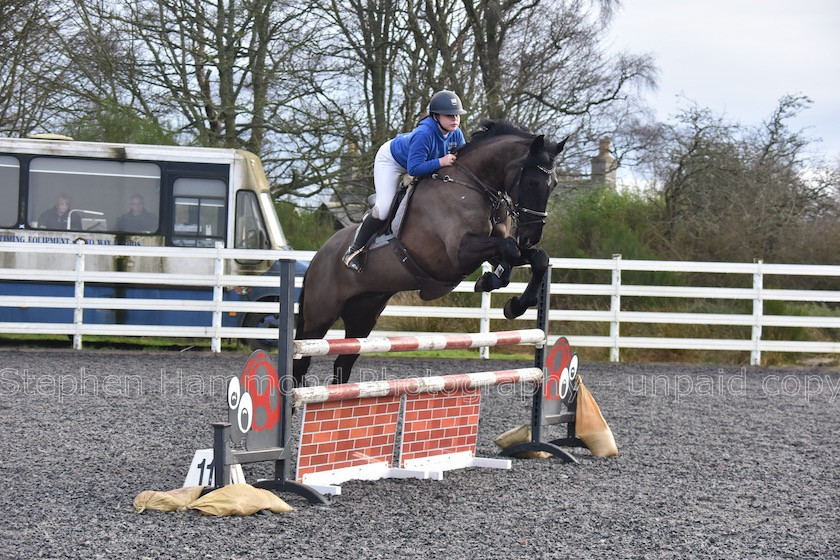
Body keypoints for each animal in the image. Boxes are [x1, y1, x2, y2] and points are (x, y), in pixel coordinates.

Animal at [294, 120, 564, 388]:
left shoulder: (489, 248)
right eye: (532, 182)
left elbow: (536, 258)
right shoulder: (459, 253)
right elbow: (509, 248)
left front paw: (513, 302)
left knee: (343, 364)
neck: (474, 185)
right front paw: (494, 281)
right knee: (302, 361)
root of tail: (317, 258)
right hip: (320, 316)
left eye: (554, 185)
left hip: (363, 316)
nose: (530, 236)